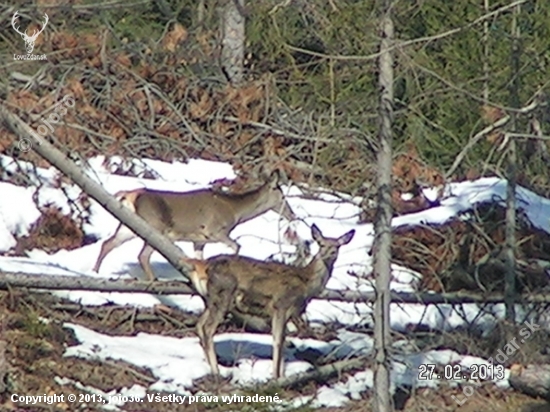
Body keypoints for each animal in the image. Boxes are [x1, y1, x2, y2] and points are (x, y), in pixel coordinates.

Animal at [92, 169, 298, 282]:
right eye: (282, 196)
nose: (292, 214)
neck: (235, 211)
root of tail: (129, 194)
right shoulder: (215, 230)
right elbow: (237, 246)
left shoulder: (199, 240)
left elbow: (201, 259)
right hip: (155, 226)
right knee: (142, 255)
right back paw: (152, 279)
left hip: (128, 226)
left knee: (108, 243)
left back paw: (94, 272)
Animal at [187, 224, 358, 378]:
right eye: (321, 244)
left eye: (337, 245)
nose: (331, 253)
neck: (306, 283)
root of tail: (204, 265)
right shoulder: (281, 305)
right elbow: (277, 340)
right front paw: (275, 376)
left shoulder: (287, 313)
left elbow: (282, 339)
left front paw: (280, 374)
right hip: (223, 294)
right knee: (208, 328)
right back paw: (216, 371)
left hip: (211, 299)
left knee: (200, 324)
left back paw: (210, 367)